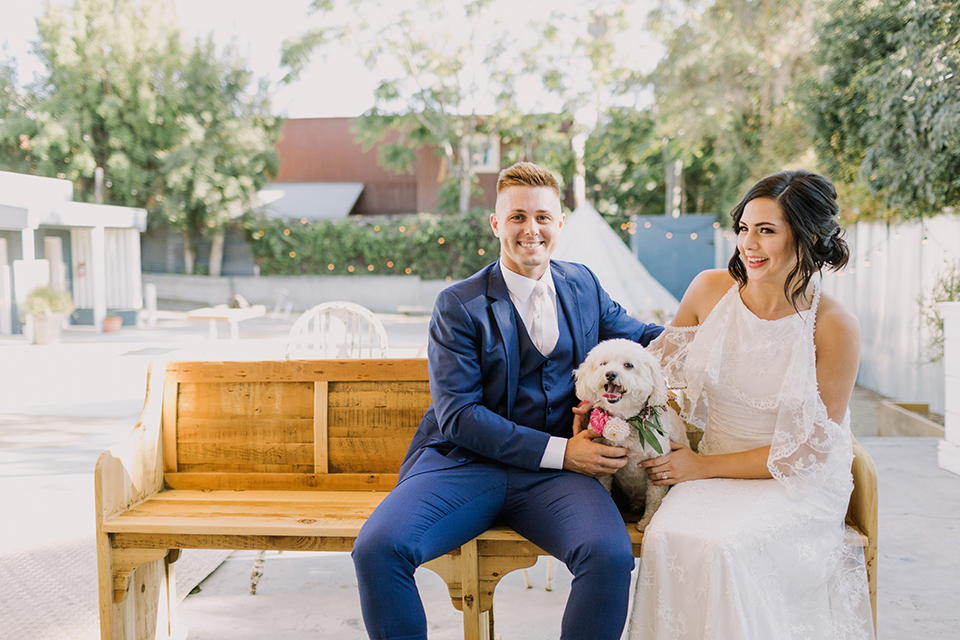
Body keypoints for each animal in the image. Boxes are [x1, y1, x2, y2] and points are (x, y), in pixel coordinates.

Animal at [572, 338, 688, 532]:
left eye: (628, 365)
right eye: (603, 364)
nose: (610, 374)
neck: (627, 421)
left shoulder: (657, 467)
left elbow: (654, 499)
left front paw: (647, 522)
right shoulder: (603, 467)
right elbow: (605, 487)